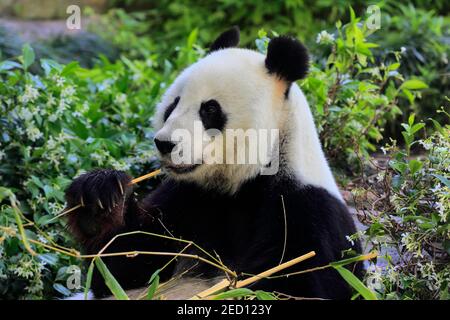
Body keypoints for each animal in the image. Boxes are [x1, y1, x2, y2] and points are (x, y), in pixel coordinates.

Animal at [66, 27, 362, 300]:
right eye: (173, 105)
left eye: (209, 109)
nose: (164, 143)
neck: (242, 184)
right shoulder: (190, 196)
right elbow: (126, 265)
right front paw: (98, 199)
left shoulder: (306, 211)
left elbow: (300, 284)